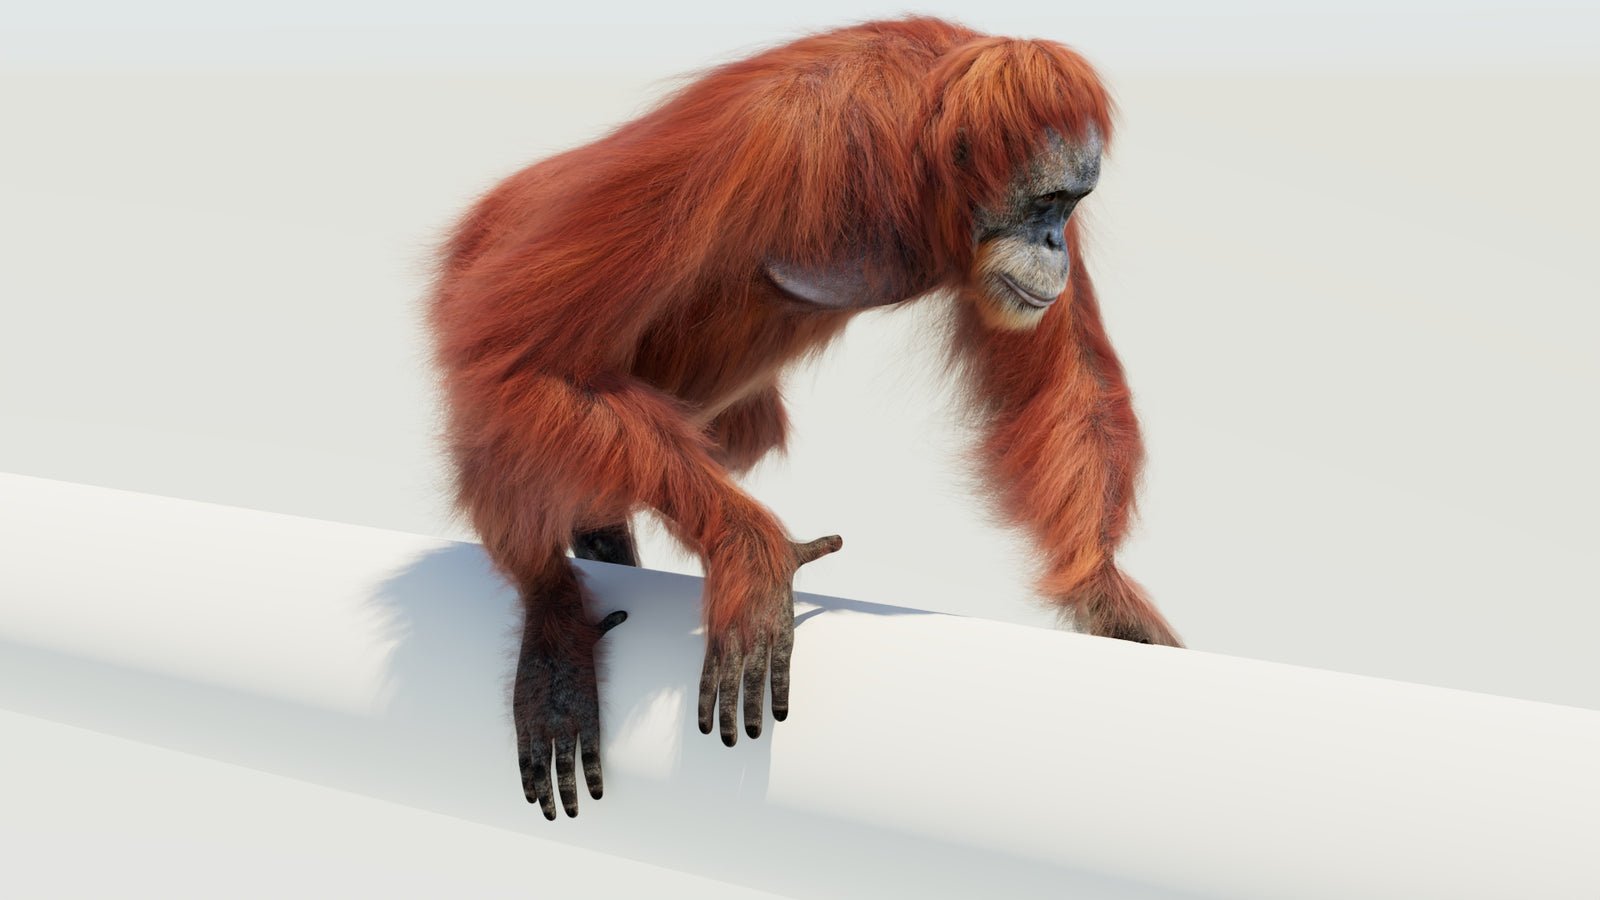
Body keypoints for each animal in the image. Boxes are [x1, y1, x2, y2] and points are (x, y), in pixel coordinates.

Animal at [428, 16, 1181, 820]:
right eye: (1045, 202)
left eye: (1072, 205)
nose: (1053, 244)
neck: (916, 150)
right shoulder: (767, 137)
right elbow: (523, 351)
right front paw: (753, 554)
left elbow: (1068, 376)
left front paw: (1107, 597)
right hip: (487, 252)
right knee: (508, 378)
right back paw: (552, 617)